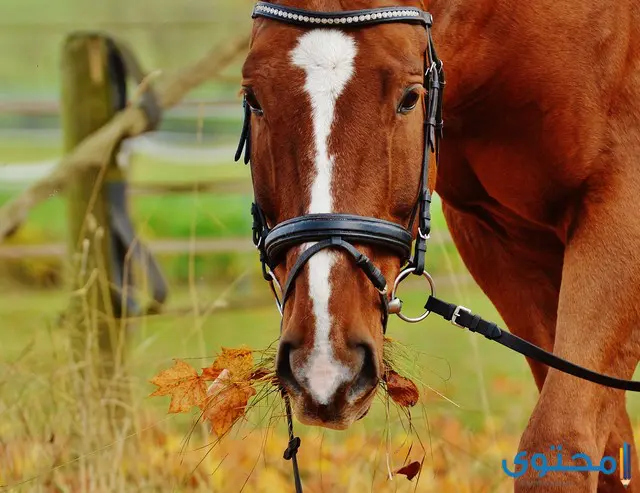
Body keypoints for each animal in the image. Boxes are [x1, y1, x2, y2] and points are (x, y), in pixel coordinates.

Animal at [239, 1, 640, 490]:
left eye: (410, 98)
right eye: (254, 98)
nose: (325, 366)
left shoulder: (622, 208)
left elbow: (560, 443)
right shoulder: (497, 239)